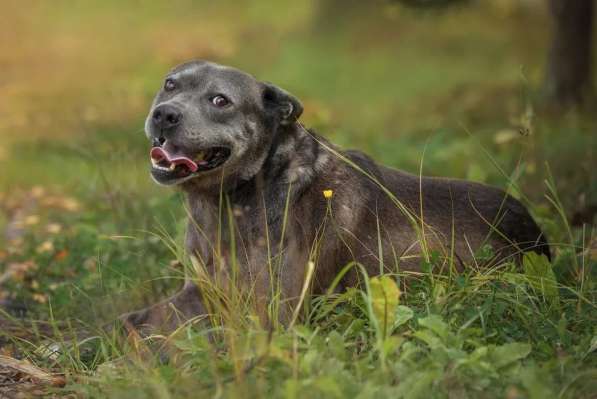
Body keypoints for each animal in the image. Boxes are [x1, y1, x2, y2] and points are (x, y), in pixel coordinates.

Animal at [120, 60, 548, 334]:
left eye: (220, 101)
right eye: (170, 84)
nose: (164, 114)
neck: (230, 201)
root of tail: (537, 235)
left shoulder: (273, 315)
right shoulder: (202, 292)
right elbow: (131, 322)